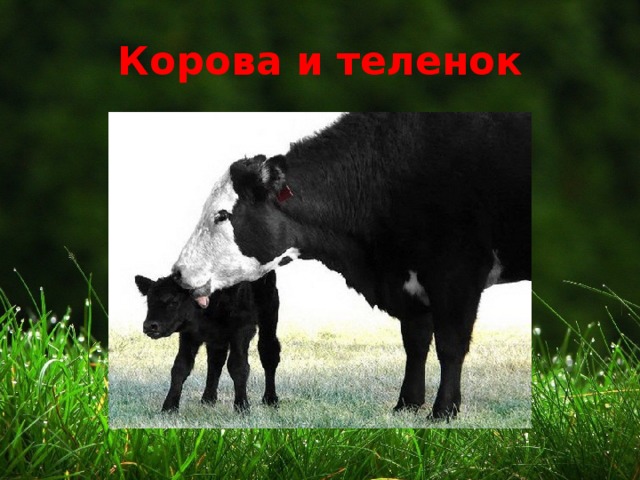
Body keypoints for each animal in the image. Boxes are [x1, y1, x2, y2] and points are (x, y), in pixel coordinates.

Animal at [135, 270, 280, 412]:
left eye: (174, 301)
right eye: (148, 301)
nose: (149, 326)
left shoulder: (241, 330)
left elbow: (238, 367)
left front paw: (242, 407)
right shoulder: (189, 334)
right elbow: (180, 367)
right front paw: (169, 407)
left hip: (269, 316)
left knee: (269, 352)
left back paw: (270, 399)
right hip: (216, 339)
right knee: (215, 361)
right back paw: (208, 399)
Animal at [172, 112, 531, 419]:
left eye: (222, 214)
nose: (178, 271)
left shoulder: (456, 274)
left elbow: (450, 345)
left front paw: (443, 411)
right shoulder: (409, 281)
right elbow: (415, 344)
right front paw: (407, 404)